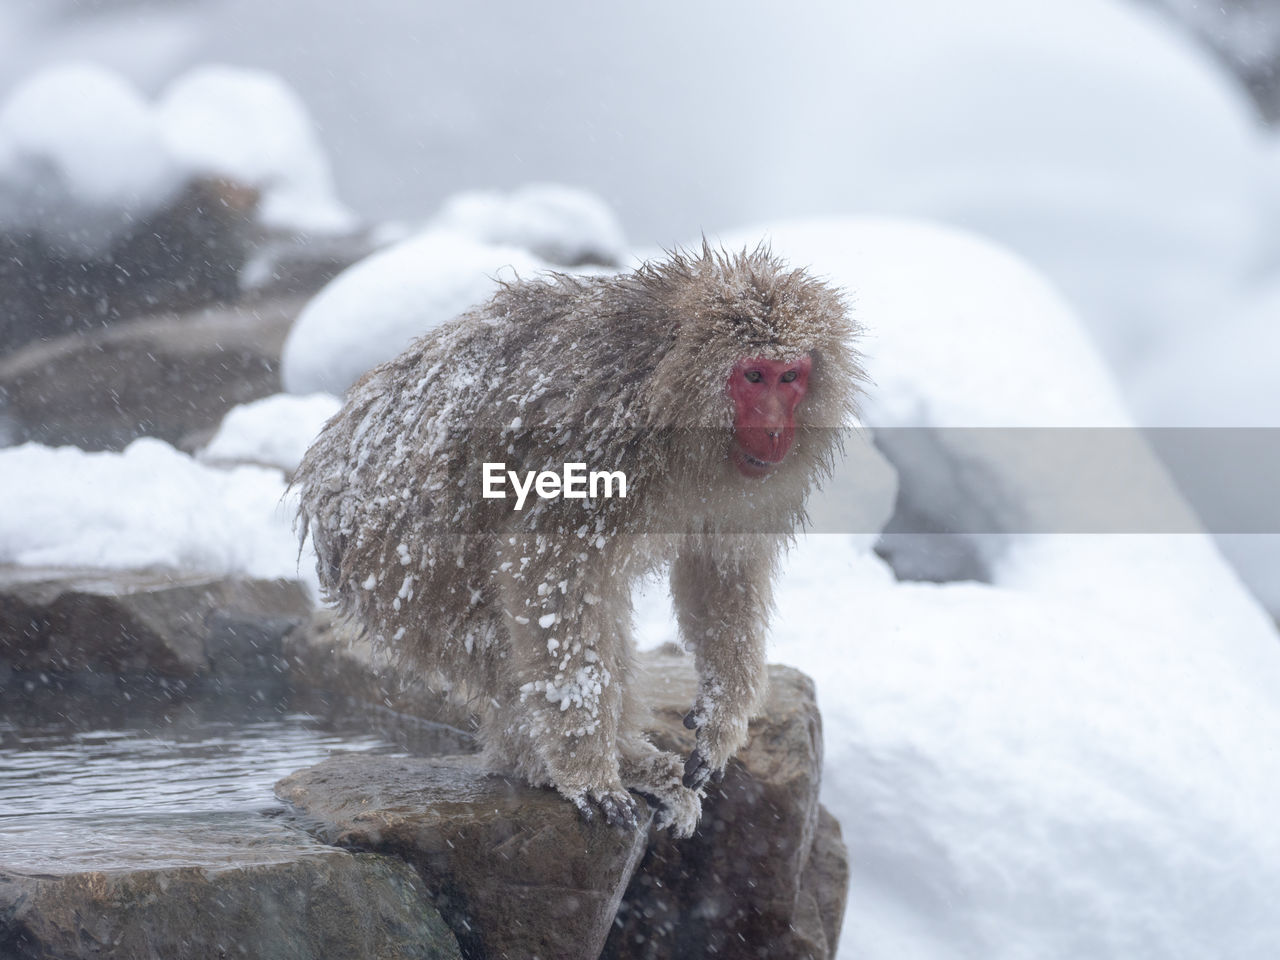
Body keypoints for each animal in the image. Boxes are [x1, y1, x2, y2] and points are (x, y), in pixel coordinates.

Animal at [294, 244, 865, 839]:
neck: (666, 392)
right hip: (398, 566)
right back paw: (554, 765)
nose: (776, 430)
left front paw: (720, 716)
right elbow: (546, 572)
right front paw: (588, 772)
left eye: (789, 376)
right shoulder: (598, 444)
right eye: (754, 376)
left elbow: (721, 567)